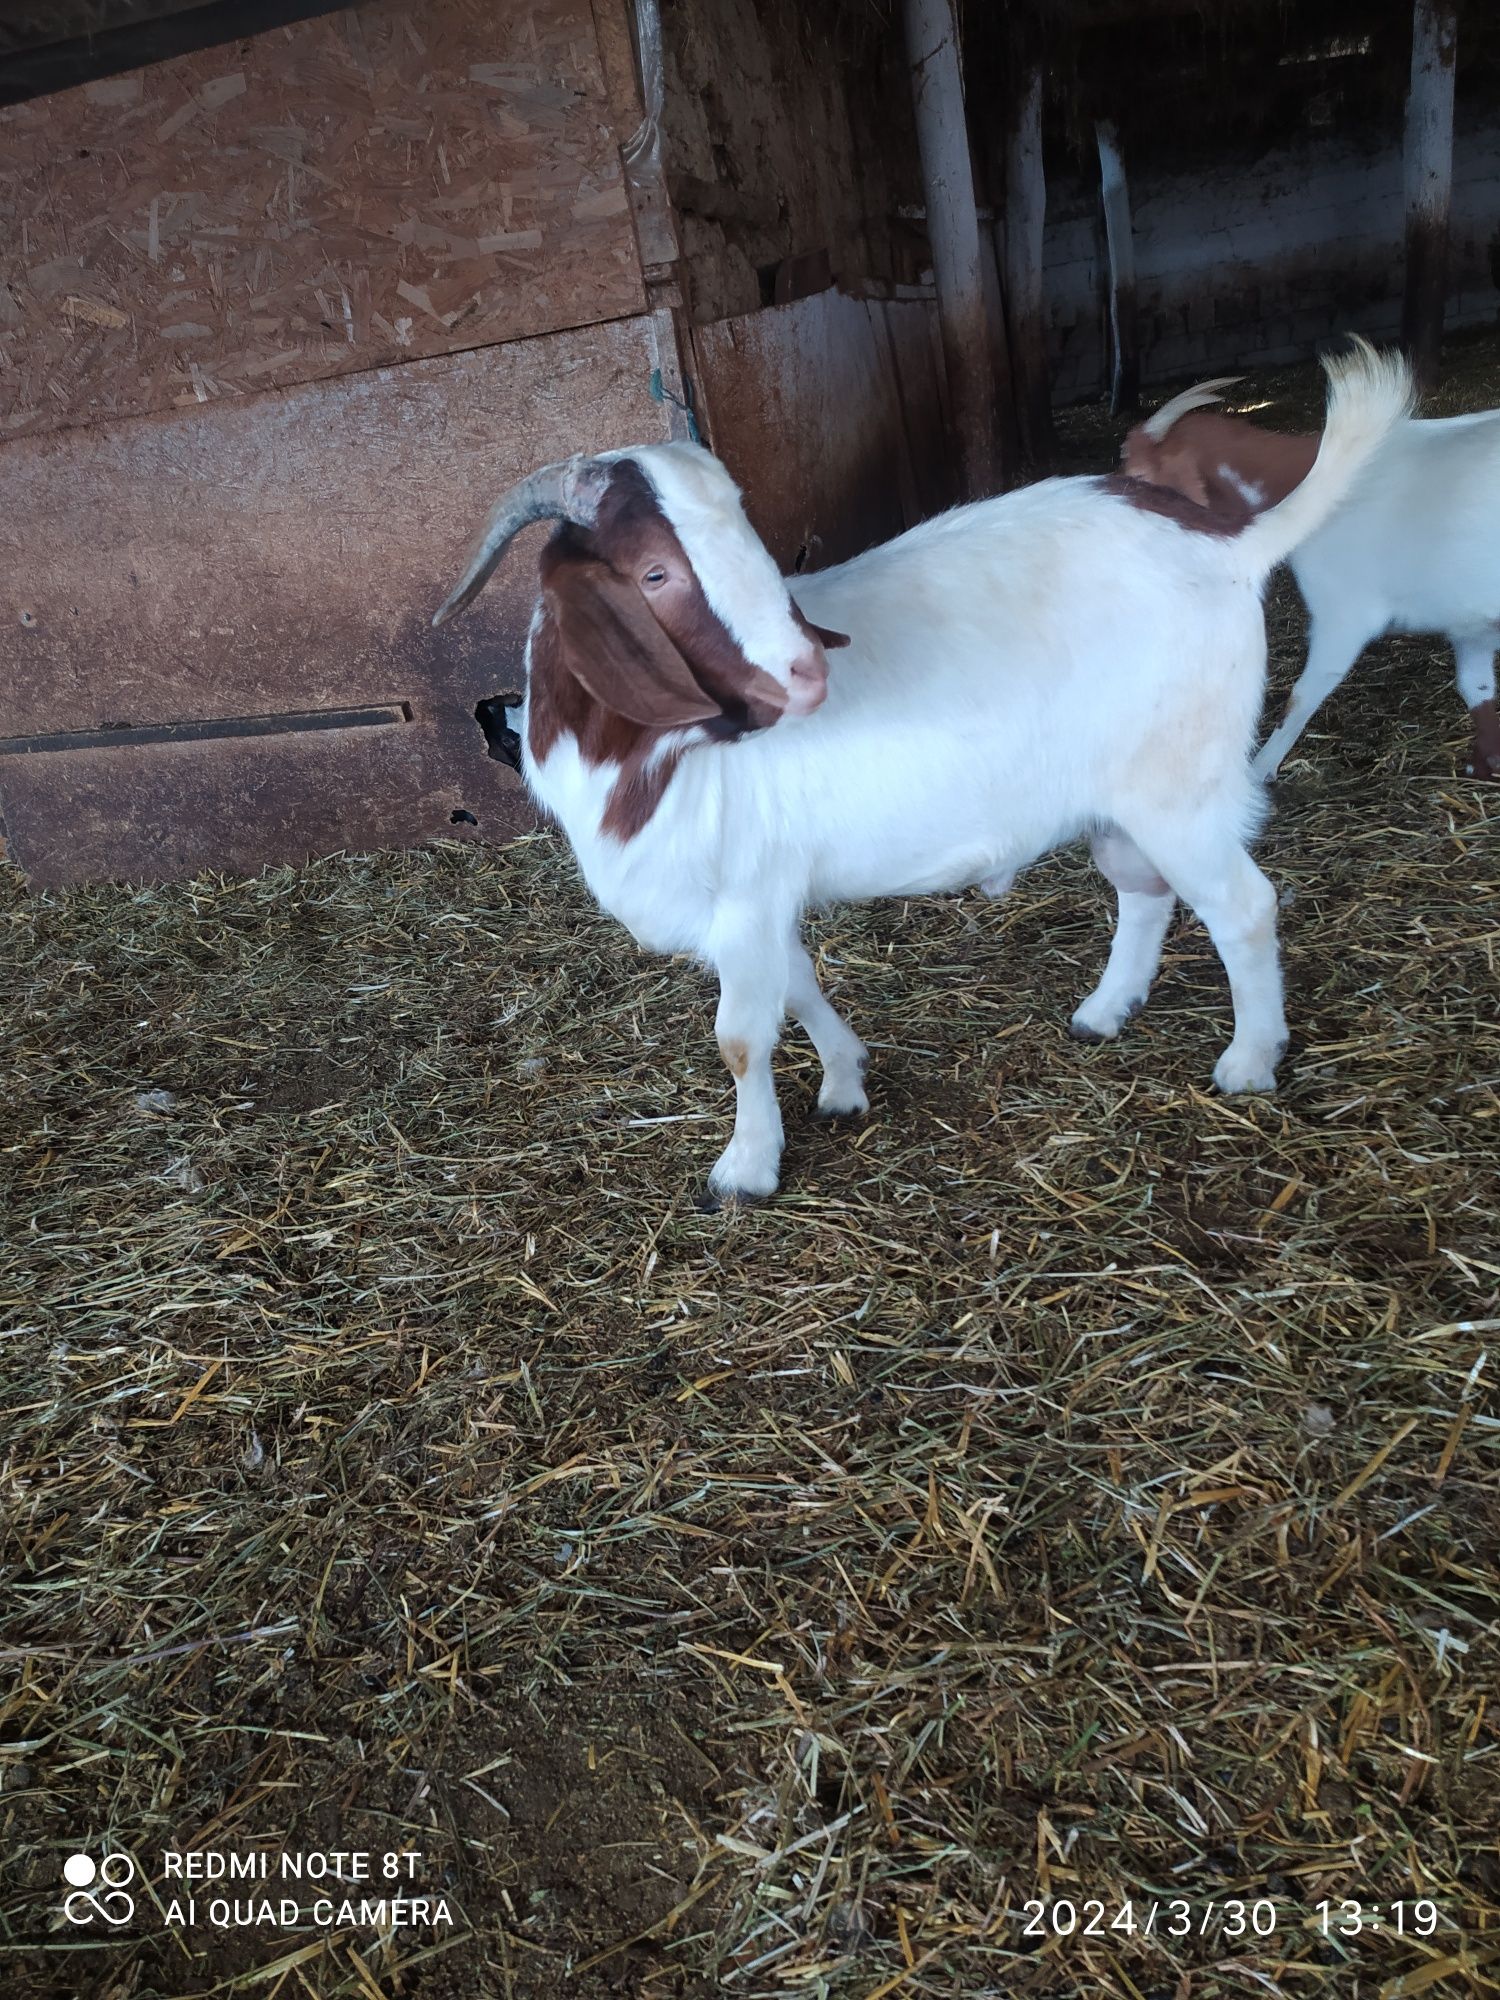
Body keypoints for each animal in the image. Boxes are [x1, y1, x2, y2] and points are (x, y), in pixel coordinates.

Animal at [438, 340, 1424, 1200]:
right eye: (652, 573)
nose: (808, 672)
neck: (659, 754)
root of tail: (1230, 544)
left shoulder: (745, 895)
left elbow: (742, 1038)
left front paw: (746, 1170)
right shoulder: (768, 897)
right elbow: (801, 986)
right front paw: (845, 1080)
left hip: (1181, 787)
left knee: (1244, 907)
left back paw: (1249, 1062)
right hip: (1120, 799)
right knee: (1143, 890)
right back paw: (1105, 1011)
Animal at [1128, 378, 1500, 784]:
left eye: (1142, 478)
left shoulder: (1343, 614)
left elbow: (1302, 695)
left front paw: (1259, 771)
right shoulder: (1470, 625)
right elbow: (1478, 689)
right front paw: (1486, 764)